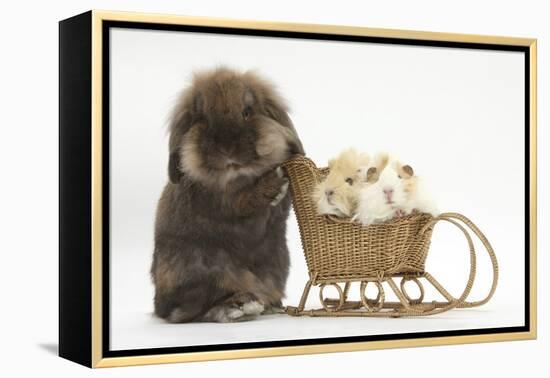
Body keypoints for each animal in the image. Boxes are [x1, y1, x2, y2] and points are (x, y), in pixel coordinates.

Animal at [151, 66, 306, 324]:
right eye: (202, 119)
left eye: (247, 112)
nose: (226, 148)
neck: (237, 173)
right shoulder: (222, 201)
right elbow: (244, 200)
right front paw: (275, 182)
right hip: (203, 272)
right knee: (190, 310)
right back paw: (240, 306)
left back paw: (268, 306)